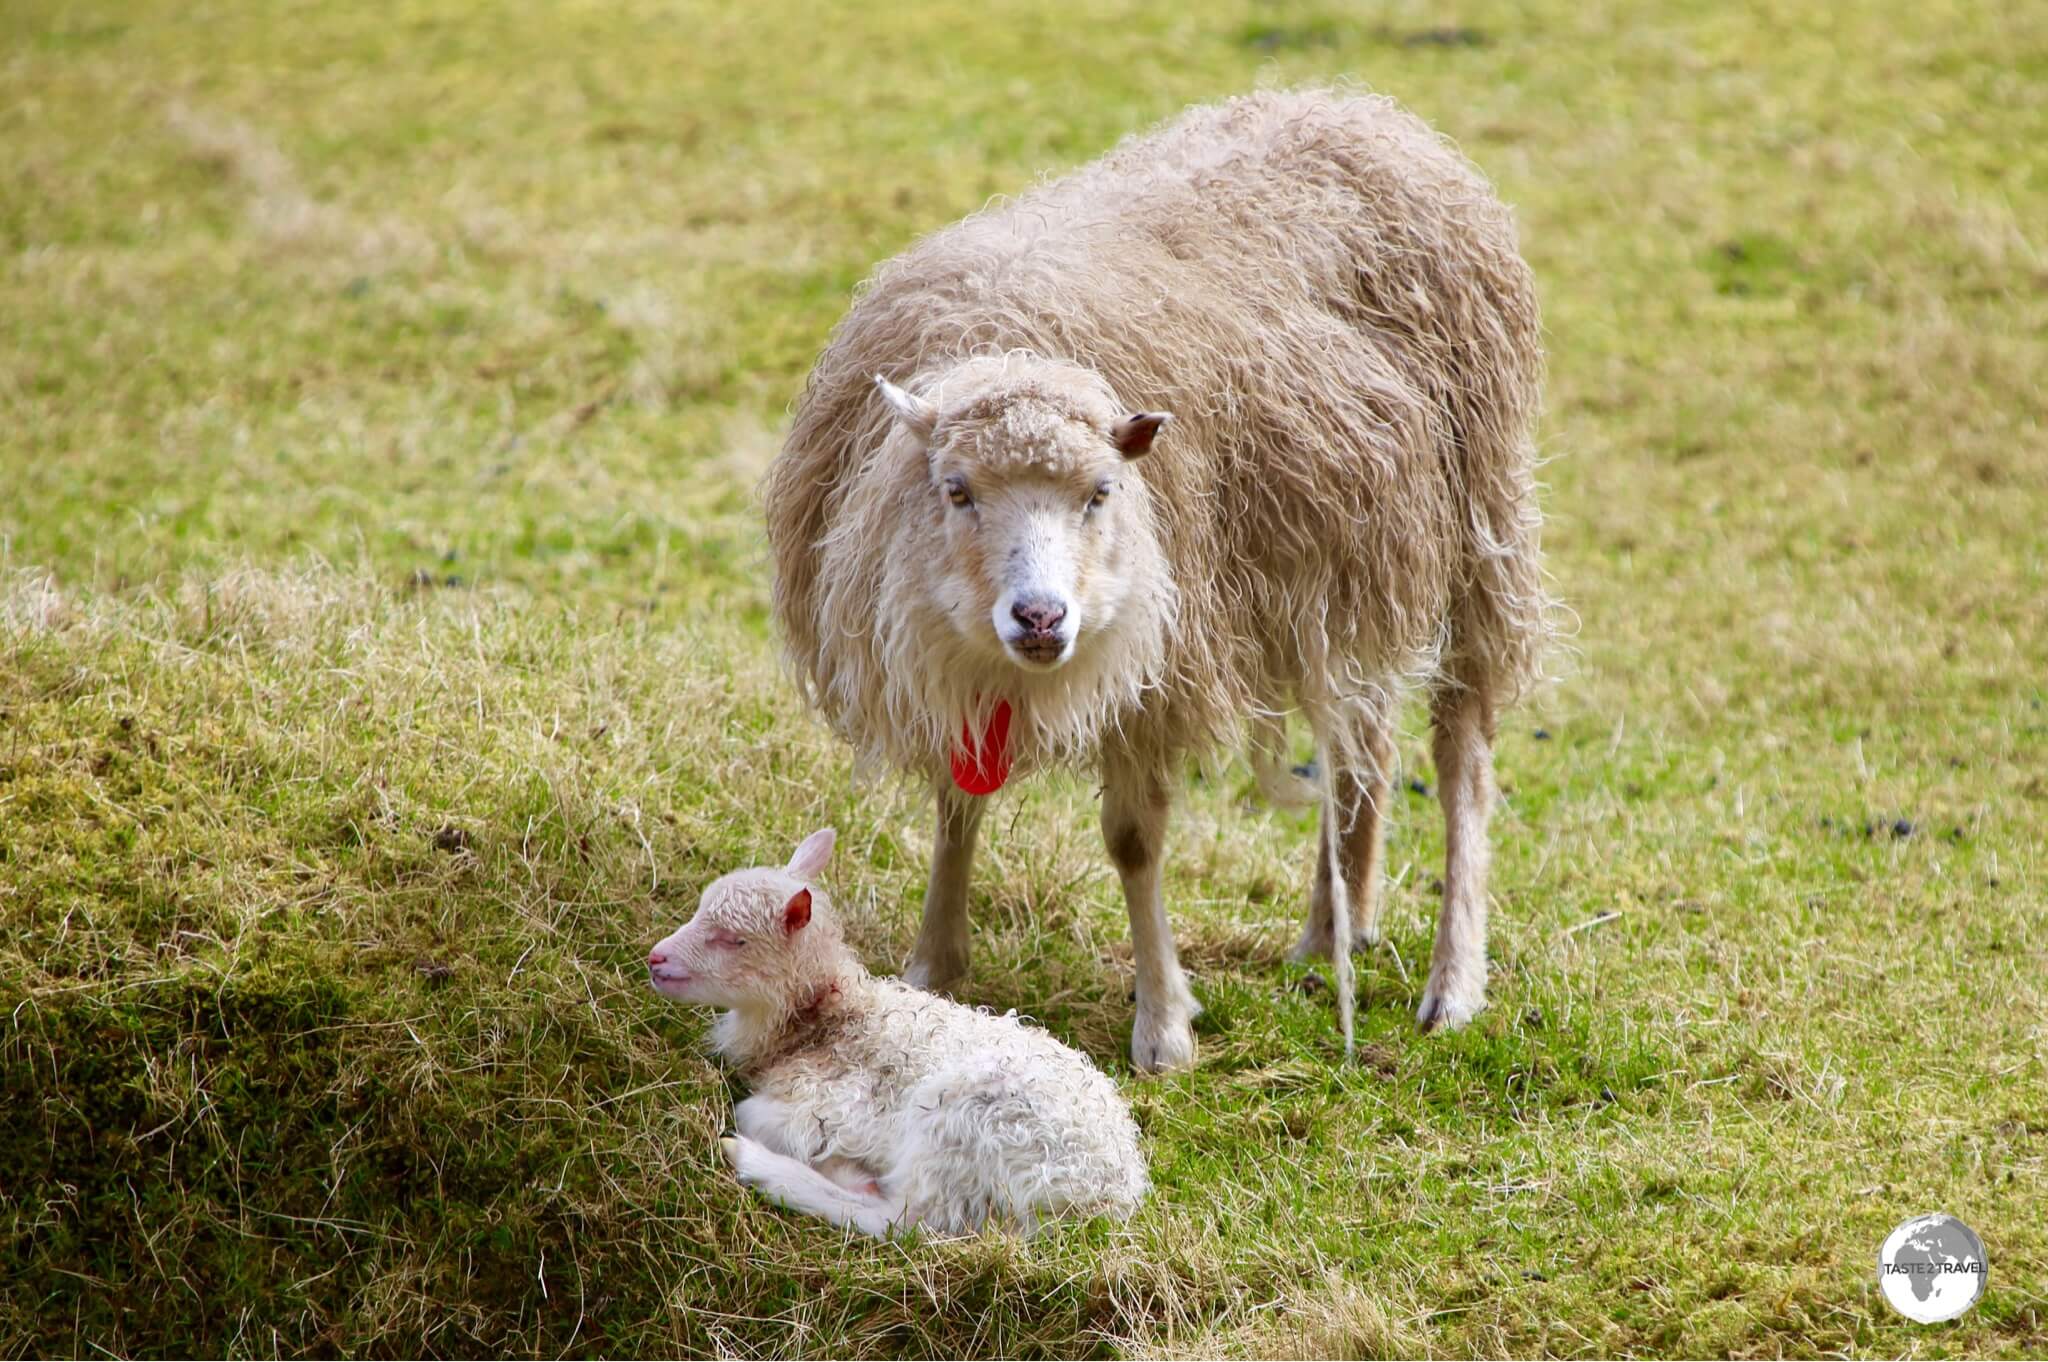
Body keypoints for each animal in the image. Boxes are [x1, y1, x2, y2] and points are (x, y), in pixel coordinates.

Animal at [643, 823, 1146, 1237]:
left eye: (734, 940)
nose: (655, 958)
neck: (827, 1019)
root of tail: (1104, 1196)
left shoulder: (834, 1106)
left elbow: (753, 1111)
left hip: (964, 1125)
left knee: (906, 1221)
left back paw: (764, 1163)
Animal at [770, 87, 1548, 1073]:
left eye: (1103, 492)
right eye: (956, 490)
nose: (1040, 618)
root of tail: (1361, 108)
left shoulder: (1158, 669)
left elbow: (1134, 841)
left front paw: (1164, 1025)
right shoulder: (955, 663)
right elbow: (955, 806)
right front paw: (932, 966)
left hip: (1478, 525)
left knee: (1463, 756)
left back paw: (1453, 982)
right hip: (1354, 559)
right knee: (1362, 744)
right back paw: (1335, 932)